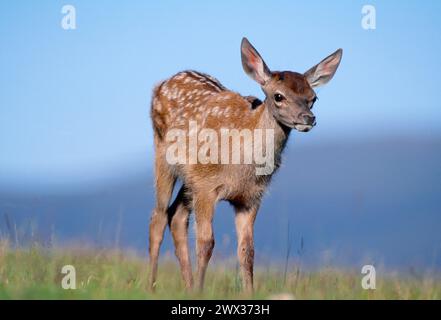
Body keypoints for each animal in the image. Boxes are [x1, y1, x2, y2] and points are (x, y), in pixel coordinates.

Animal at [148, 37, 340, 292]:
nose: (308, 118)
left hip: (190, 179)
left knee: (176, 216)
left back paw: (186, 288)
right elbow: (206, 243)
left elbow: (247, 250)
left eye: (313, 98)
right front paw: (200, 291)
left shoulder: (250, 197)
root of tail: (163, 83)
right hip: (164, 155)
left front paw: (249, 293)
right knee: (158, 218)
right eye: (279, 96)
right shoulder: (207, 187)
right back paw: (151, 287)